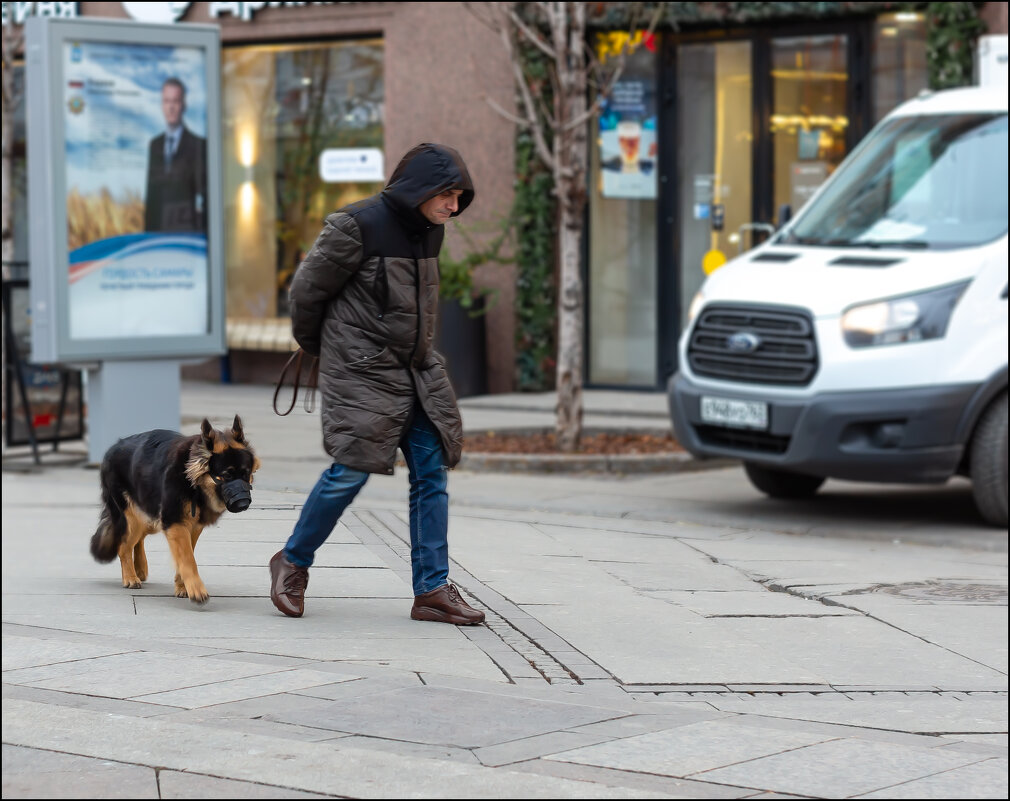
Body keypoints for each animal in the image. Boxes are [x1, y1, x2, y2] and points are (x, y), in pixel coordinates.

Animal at [89, 416, 260, 602]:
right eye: (226, 475)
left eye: (246, 474)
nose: (243, 503)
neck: (193, 485)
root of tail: (112, 448)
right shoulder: (175, 523)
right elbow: (187, 558)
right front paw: (196, 589)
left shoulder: (191, 527)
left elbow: (185, 556)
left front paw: (182, 587)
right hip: (133, 518)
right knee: (124, 545)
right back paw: (130, 577)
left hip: (150, 519)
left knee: (138, 539)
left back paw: (140, 569)